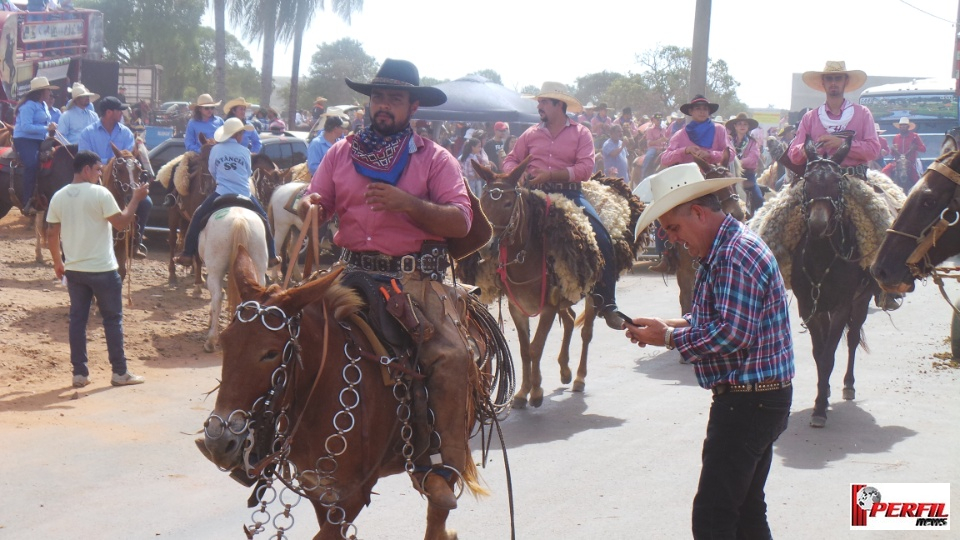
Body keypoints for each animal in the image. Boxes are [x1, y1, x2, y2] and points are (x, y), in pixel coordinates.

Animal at [199, 253, 506, 540]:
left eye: (271, 353)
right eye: (225, 342)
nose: (218, 441)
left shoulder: (353, 494)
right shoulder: (320, 489)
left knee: (438, 505)